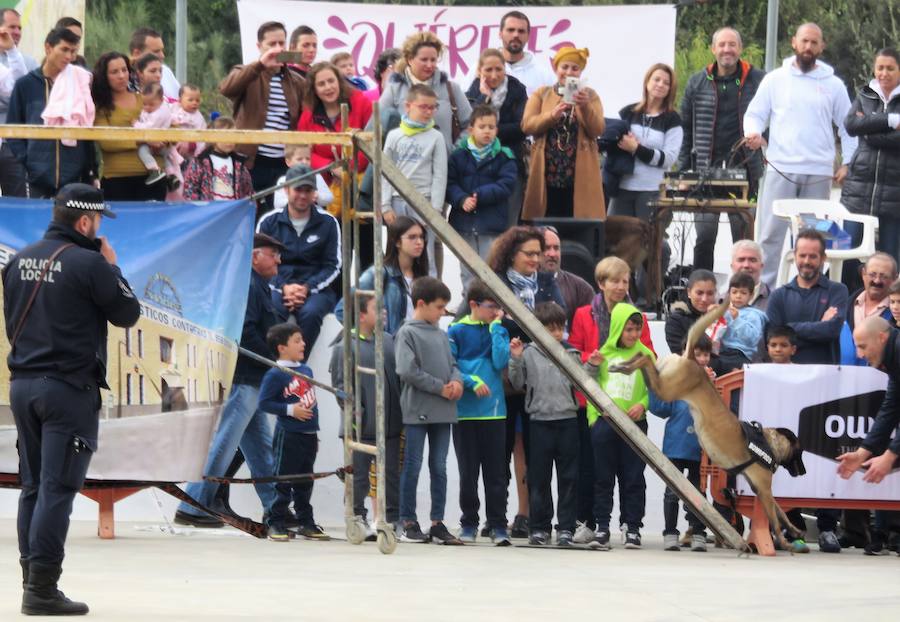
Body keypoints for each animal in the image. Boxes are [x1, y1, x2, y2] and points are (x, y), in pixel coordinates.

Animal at [608, 300, 804, 552]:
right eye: (800, 452)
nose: (803, 472)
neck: (768, 443)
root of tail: (692, 358)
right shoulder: (764, 489)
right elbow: (775, 519)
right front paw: (784, 542)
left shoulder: (761, 490)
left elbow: (781, 513)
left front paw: (795, 530)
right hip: (667, 388)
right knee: (645, 361)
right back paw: (625, 366)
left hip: (663, 380)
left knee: (644, 356)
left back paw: (624, 364)